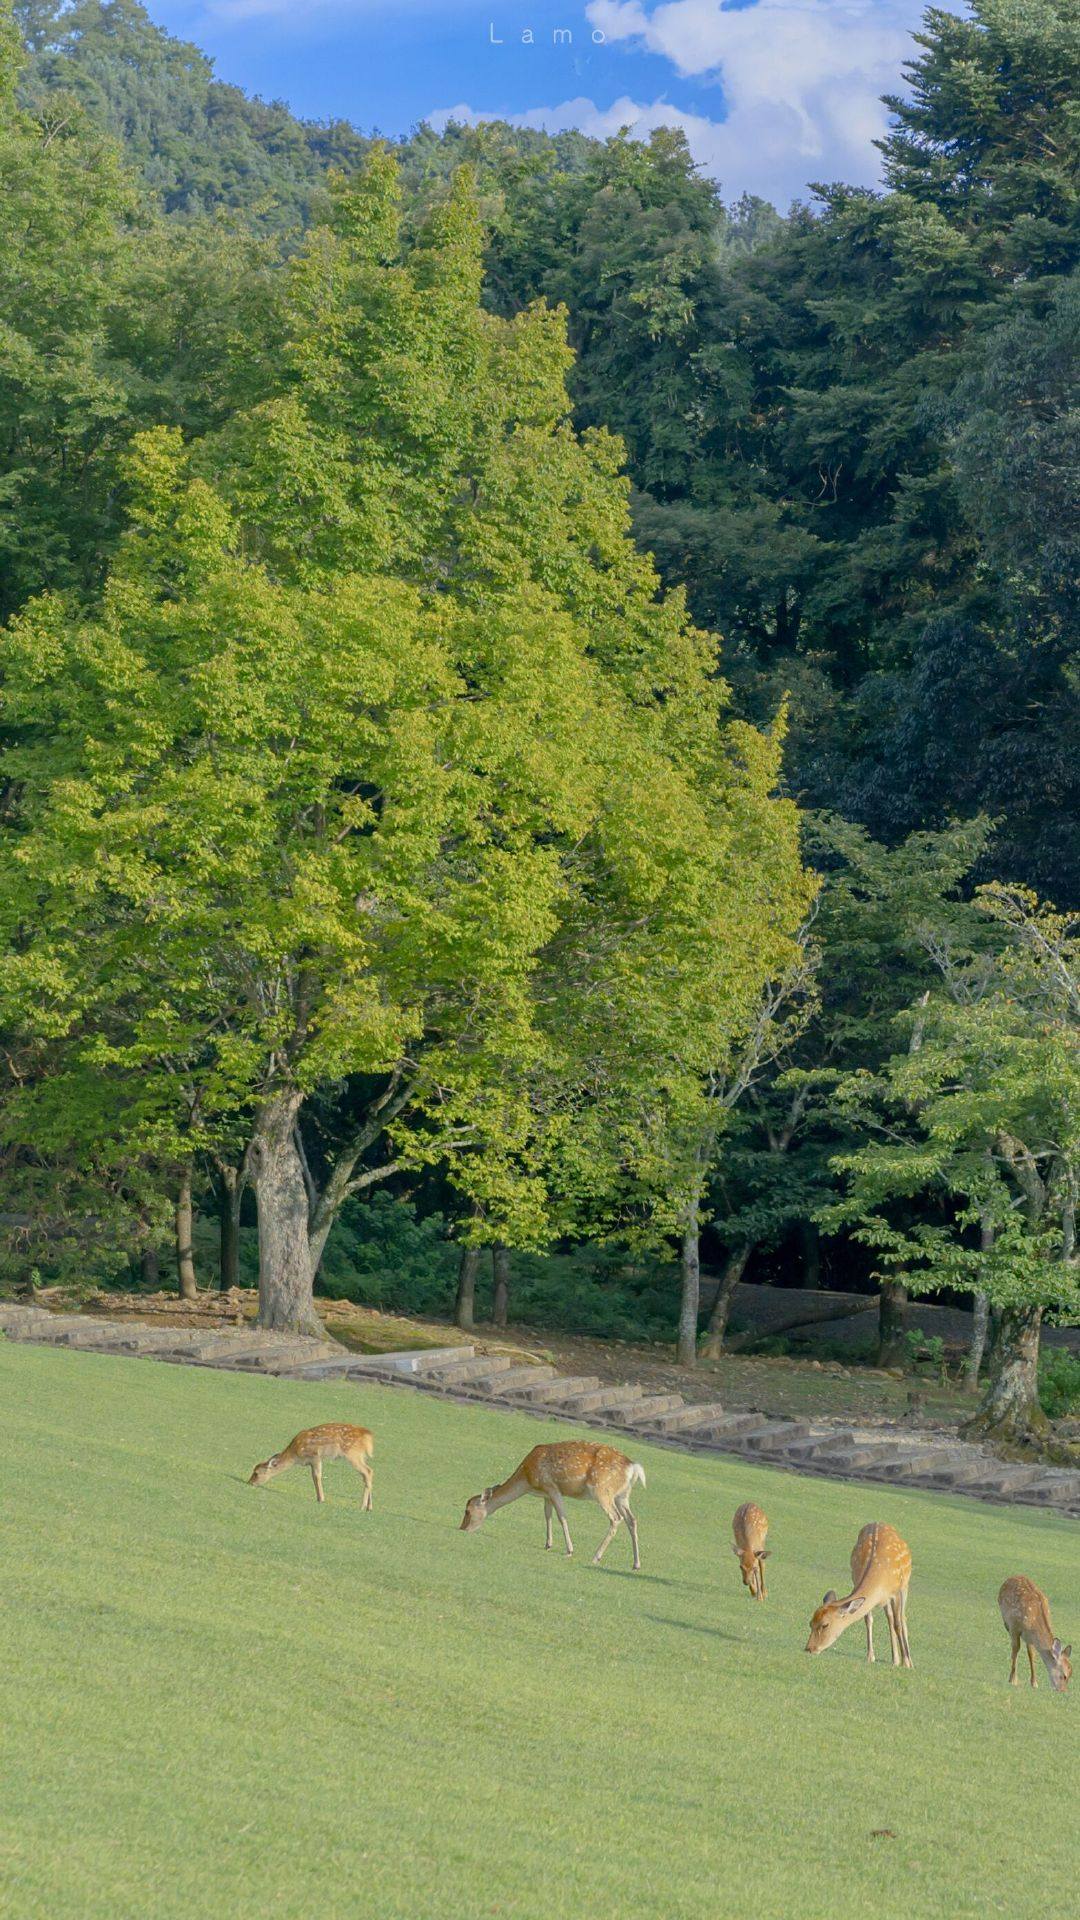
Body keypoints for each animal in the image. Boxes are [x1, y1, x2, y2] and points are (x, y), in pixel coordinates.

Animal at [457, 1443, 641, 1574]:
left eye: (467, 1511)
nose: (462, 1528)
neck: (527, 1481)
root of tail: (633, 1468)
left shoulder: (551, 1486)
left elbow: (562, 1517)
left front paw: (569, 1550)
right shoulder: (546, 1494)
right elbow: (547, 1515)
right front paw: (548, 1544)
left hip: (602, 1490)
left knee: (616, 1518)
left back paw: (596, 1557)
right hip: (622, 1496)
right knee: (632, 1519)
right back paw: (636, 1564)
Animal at [803, 1512, 903, 1666]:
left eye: (825, 1625)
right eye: (810, 1623)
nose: (809, 1648)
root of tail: (879, 1521)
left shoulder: (895, 1593)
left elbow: (897, 1622)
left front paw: (903, 1662)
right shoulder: (856, 1580)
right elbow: (868, 1618)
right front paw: (870, 1657)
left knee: (897, 1618)